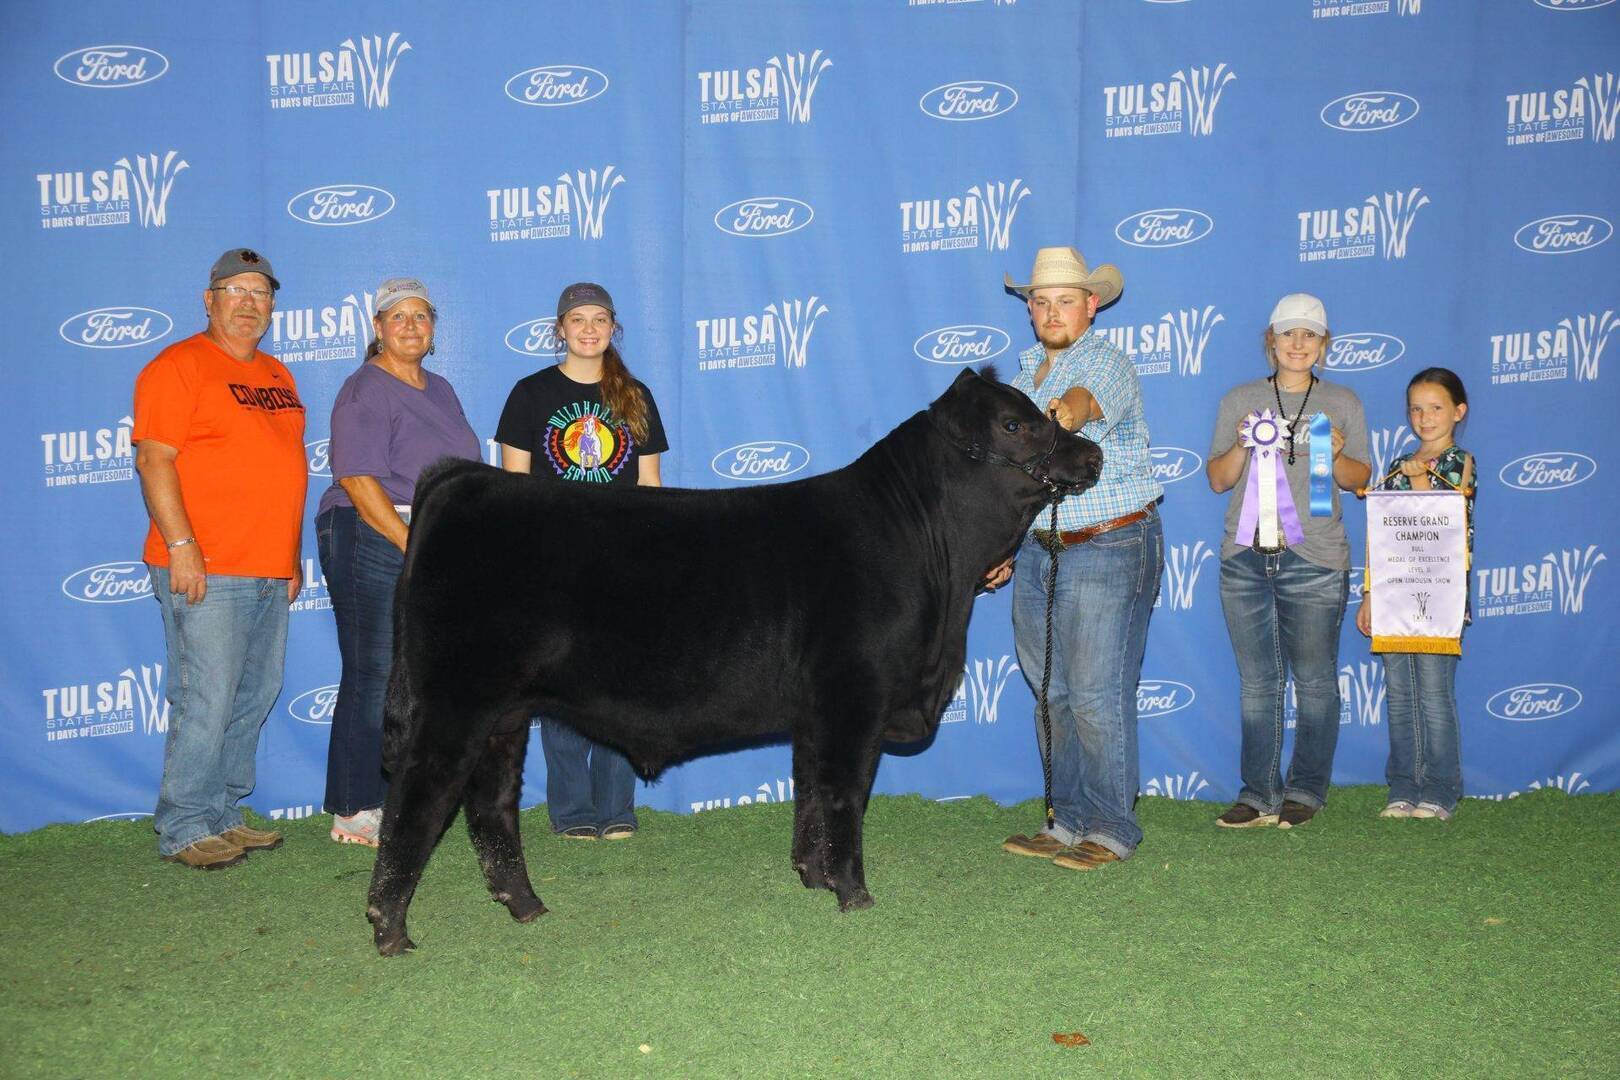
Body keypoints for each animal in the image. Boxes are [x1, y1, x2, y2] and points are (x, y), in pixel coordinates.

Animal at [366, 367, 1102, 955]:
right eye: (1014, 423)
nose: (1091, 450)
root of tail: (467, 478)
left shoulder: (816, 714)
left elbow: (809, 792)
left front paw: (812, 876)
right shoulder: (854, 698)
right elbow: (846, 794)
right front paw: (854, 895)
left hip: (505, 713)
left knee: (490, 807)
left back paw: (526, 907)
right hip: (455, 702)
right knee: (417, 801)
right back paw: (390, 929)